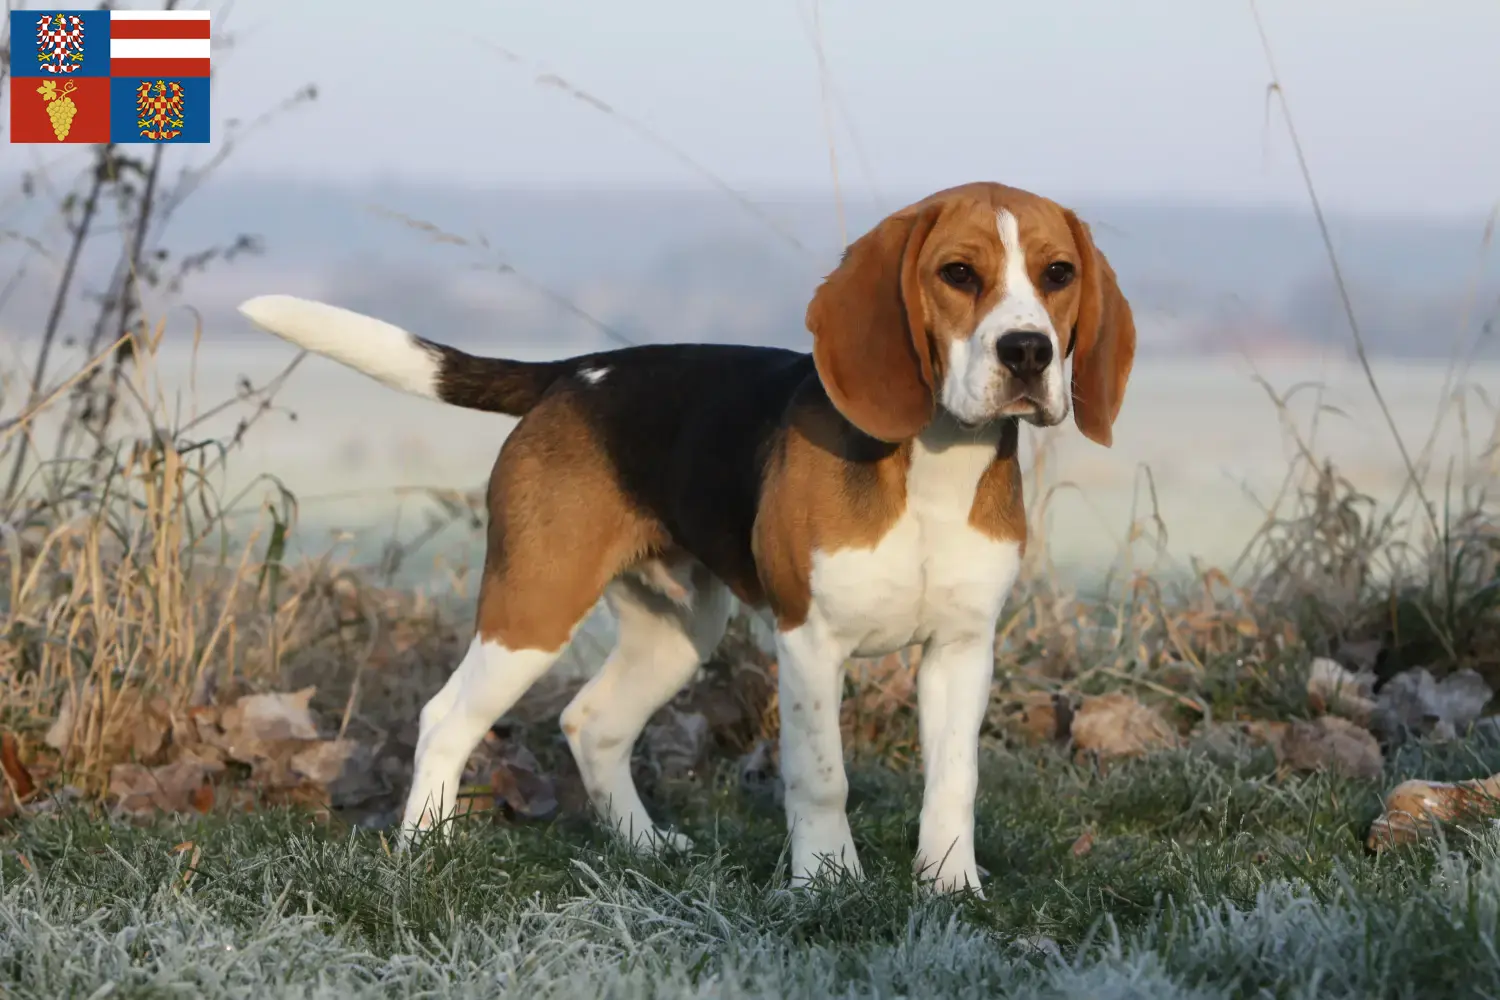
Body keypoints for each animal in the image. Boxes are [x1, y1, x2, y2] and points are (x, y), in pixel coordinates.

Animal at [234, 177, 1128, 893]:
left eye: (1058, 274)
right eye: (958, 274)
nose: (1028, 352)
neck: (935, 463)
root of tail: (571, 372)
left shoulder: (961, 648)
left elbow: (953, 782)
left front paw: (950, 886)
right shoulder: (811, 642)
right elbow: (821, 778)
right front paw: (826, 882)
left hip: (679, 631)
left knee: (590, 723)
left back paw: (643, 847)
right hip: (535, 606)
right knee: (445, 716)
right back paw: (424, 848)